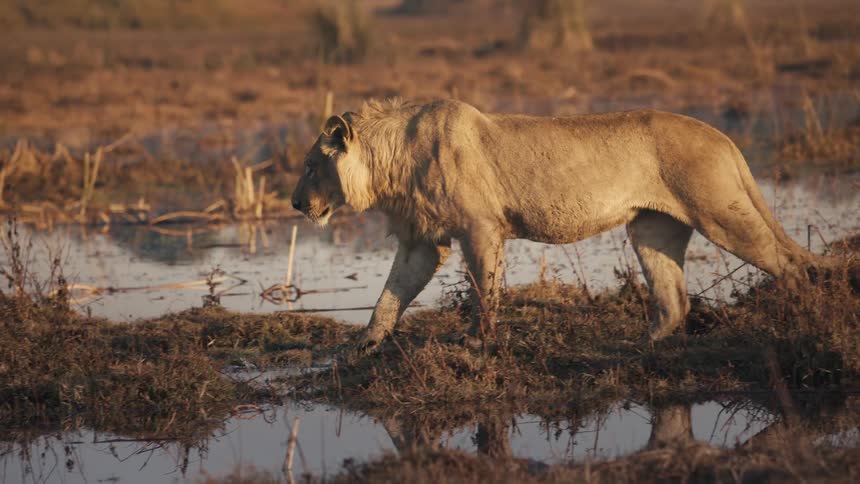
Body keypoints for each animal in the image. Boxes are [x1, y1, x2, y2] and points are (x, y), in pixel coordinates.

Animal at [291, 98, 831, 352]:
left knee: (787, 265)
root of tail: (722, 135)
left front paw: (478, 342)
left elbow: (484, 290)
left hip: (721, 214)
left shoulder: (481, 228)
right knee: (674, 300)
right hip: (651, 230)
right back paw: (641, 346)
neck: (392, 162)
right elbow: (390, 295)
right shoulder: (423, 241)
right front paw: (363, 346)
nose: (296, 203)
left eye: (310, 166)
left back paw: (801, 321)